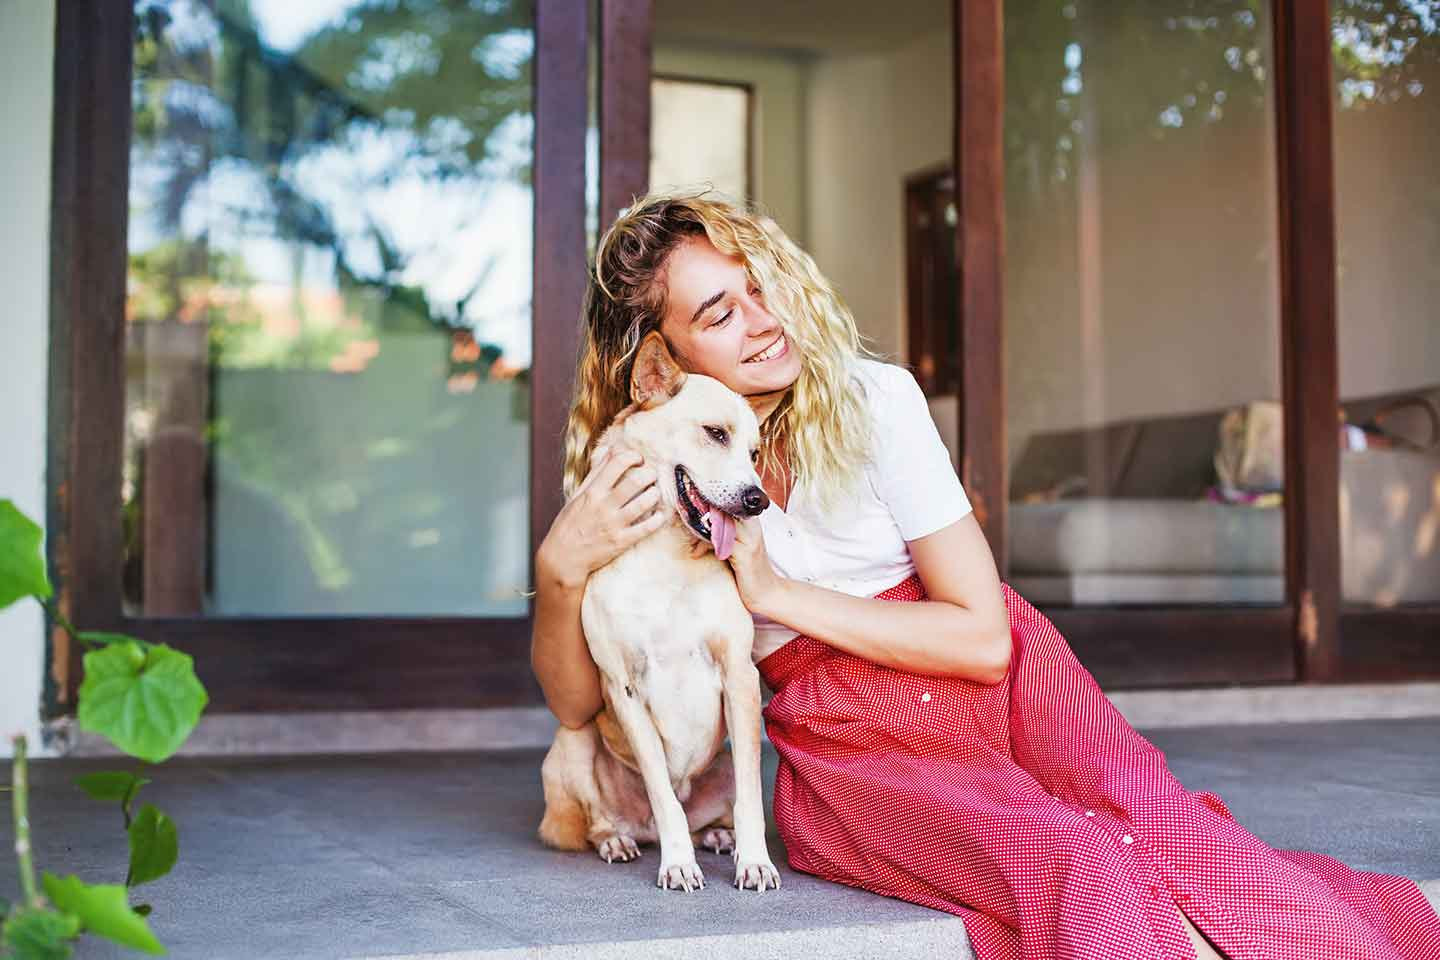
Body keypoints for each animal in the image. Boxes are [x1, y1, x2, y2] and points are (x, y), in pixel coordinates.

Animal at [538, 331, 783, 892]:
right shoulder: (622, 685)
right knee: (605, 819)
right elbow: (661, 791)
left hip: (726, 763)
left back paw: (717, 836)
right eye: (715, 433)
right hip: (571, 743)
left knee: (717, 808)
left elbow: (750, 802)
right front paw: (677, 864)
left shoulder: (739, 675)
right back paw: (619, 840)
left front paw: (755, 861)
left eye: (755, 452)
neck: (668, 555)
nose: (757, 500)